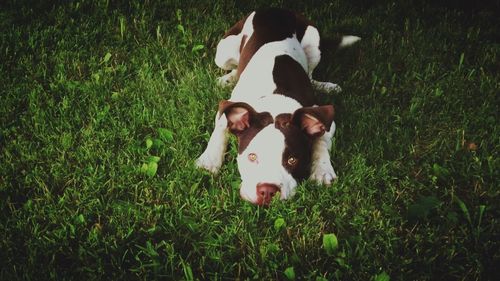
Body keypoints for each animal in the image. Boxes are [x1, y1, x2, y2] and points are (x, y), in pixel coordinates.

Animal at [194, 7, 360, 205]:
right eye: (252, 157)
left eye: (292, 160)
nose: (267, 190)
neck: (275, 100)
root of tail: (274, 8)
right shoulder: (229, 109)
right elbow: (220, 129)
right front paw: (209, 160)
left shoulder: (324, 118)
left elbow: (321, 141)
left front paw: (322, 169)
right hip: (223, 52)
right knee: (234, 66)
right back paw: (228, 78)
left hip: (314, 41)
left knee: (311, 74)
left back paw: (326, 86)